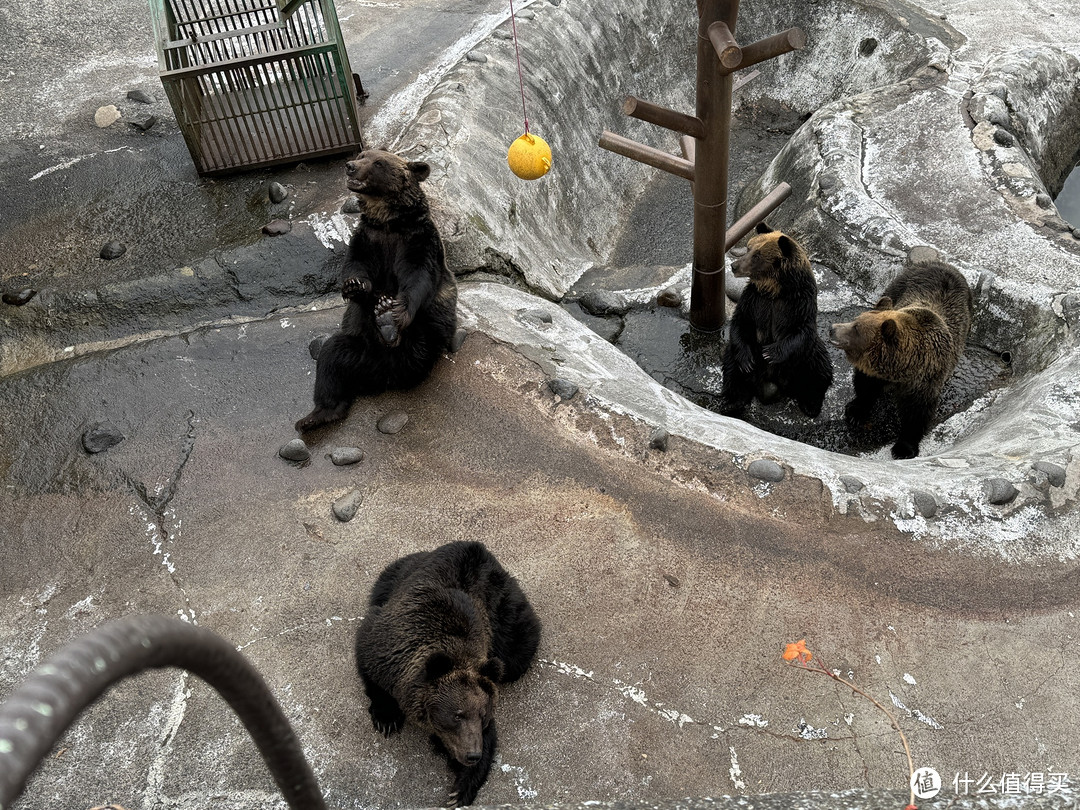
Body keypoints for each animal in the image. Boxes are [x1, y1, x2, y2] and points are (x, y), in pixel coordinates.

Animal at [298, 149, 457, 434]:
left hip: (427, 340)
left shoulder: (417, 239)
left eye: (379, 163)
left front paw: (395, 309)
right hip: (360, 350)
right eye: (362, 154)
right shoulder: (367, 239)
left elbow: (418, 275)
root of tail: (387, 375)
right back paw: (316, 415)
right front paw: (355, 286)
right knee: (331, 359)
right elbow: (355, 266)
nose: (350, 166)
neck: (388, 221)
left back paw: (387, 320)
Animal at [354, 540, 540, 807]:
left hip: (505, 620)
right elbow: (369, 662)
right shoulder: (386, 645)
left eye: (482, 714)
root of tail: (476, 547)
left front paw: (460, 790)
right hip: (399, 573)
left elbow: (489, 736)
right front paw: (386, 718)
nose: (472, 754)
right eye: (457, 715)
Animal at [717, 226, 833, 421]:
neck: (775, 290)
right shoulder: (754, 300)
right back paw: (733, 402)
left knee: (819, 368)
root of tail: (770, 384)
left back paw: (811, 405)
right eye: (748, 248)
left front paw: (770, 353)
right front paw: (747, 361)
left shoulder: (800, 303)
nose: (734, 266)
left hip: (801, 361)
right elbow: (741, 322)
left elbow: (803, 330)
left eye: (757, 255)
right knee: (733, 366)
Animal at [829, 263, 976, 460]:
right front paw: (856, 411)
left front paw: (904, 449)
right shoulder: (874, 371)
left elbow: (917, 414)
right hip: (897, 287)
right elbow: (865, 387)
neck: (900, 368)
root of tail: (943, 264)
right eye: (856, 320)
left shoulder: (924, 381)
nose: (832, 328)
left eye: (856, 328)